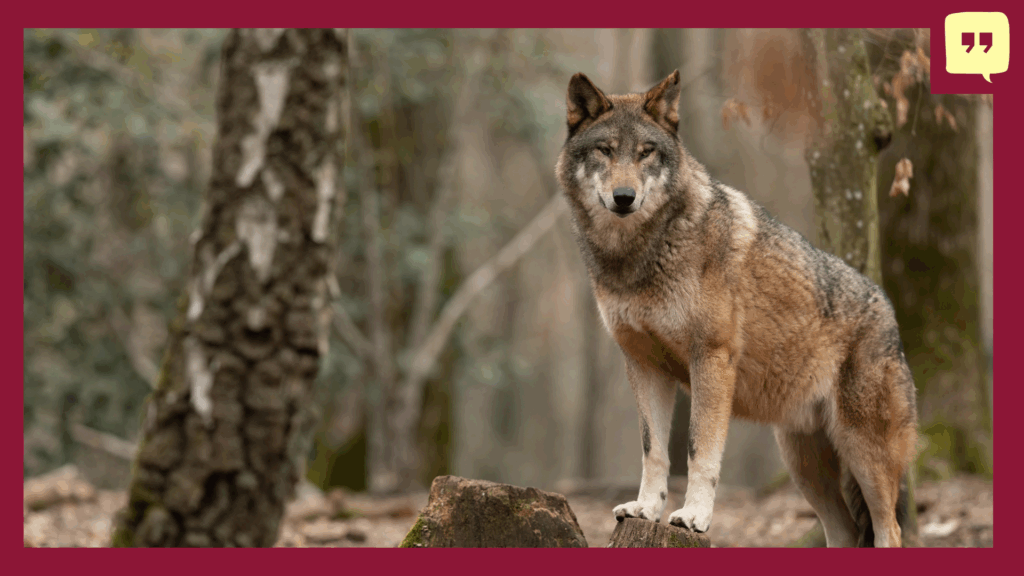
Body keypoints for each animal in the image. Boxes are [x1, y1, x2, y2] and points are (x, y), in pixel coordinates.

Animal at [555, 70, 918, 547]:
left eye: (646, 152)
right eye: (605, 150)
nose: (624, 196)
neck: (639, 255)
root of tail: (890, 311)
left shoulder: (711, 358)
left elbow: (699, 451)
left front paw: (693, 516)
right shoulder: (643, 364)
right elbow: (654, 450)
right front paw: (646, 509)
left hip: (863, 455)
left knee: (888, 529)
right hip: (804, 467)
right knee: (843, 532)